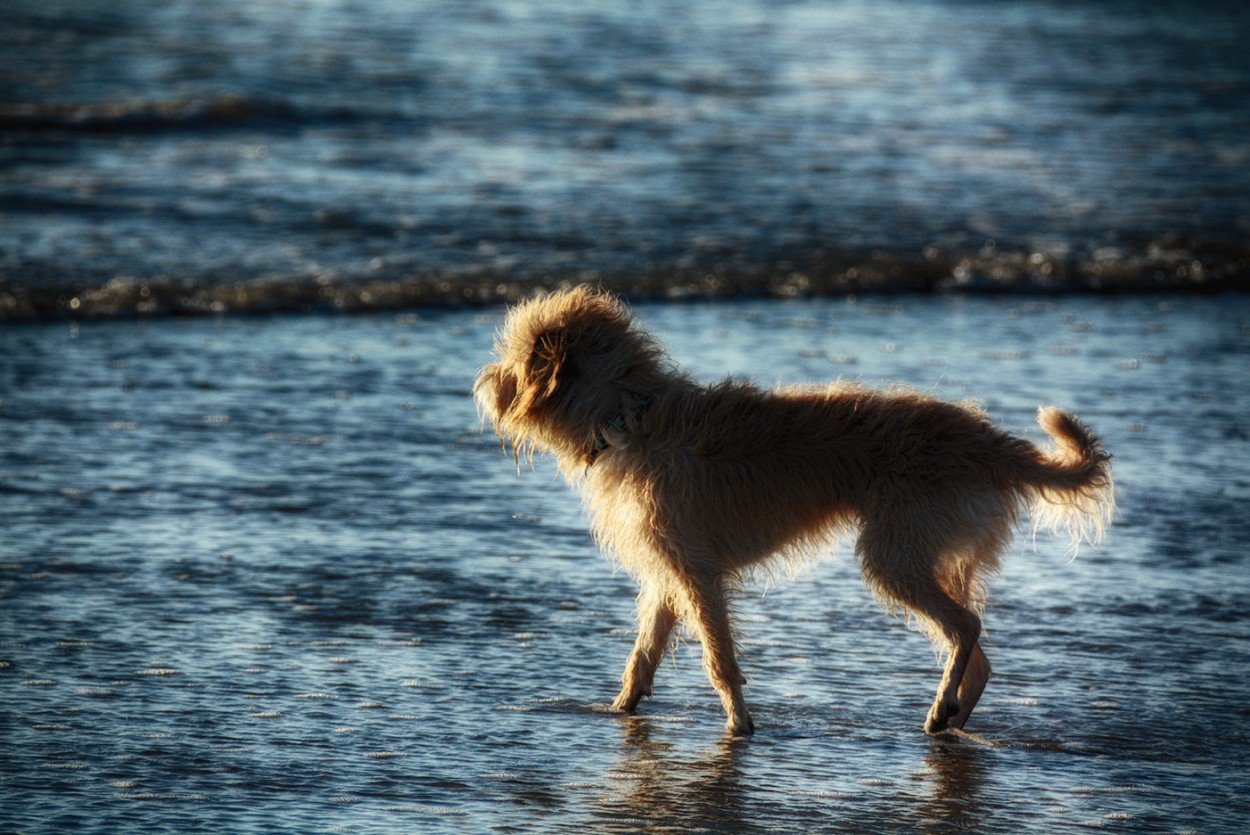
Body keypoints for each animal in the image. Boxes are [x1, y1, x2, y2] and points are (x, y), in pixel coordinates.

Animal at [470, 287, 1115, 735]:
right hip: (934, 555)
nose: (480, 384)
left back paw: (940, 709)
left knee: (965, 628)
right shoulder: (671, 571)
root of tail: (989, 443)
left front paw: (738, 724)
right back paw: (950, 715)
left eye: (514, 361)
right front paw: (620, 707)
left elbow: (718, 658)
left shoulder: (696, 574)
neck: (631, 415)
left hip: (895, 557)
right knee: (978, 657)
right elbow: (644, 653)